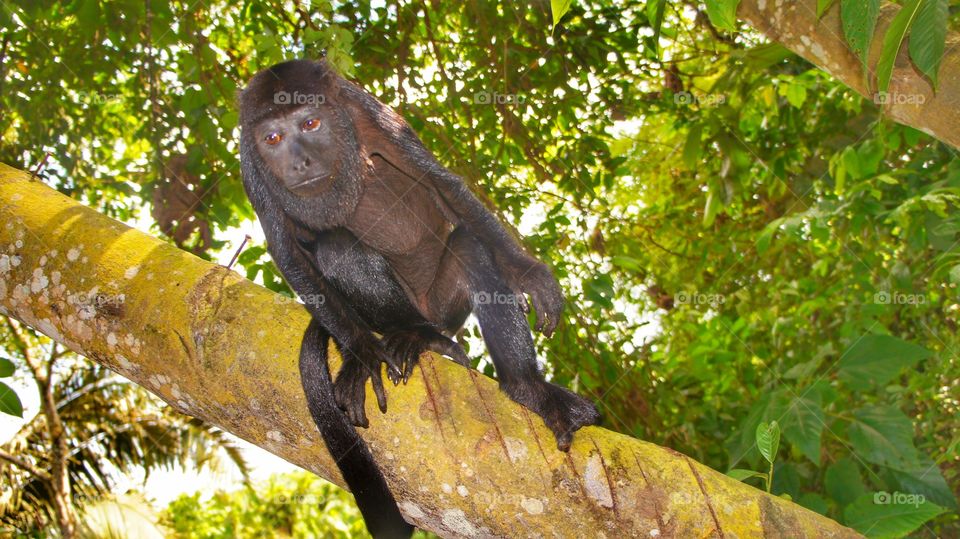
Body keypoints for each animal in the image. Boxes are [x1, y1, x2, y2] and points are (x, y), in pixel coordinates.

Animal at [238, 59, 600, 537]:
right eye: (272, 139)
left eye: (310, 124)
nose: (299, 162)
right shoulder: (250, 163)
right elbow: (286, 249)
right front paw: (360, 354)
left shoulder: (365, 112)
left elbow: (441, 184)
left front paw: (529, 272)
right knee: (336, 249)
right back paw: (408, 336)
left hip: (444, 304)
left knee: (468, 245)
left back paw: (526, 387)